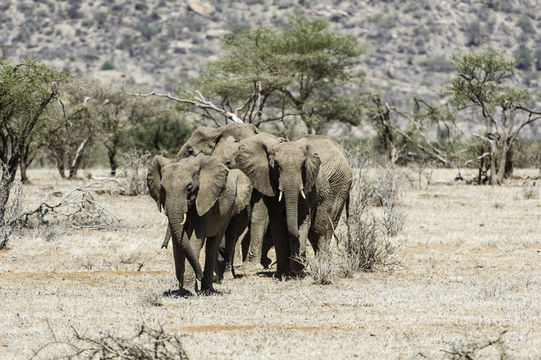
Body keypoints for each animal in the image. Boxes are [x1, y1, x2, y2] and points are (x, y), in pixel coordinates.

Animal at [146, 153, 251, 294]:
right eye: (162, 188)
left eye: (189, 188)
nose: (163, 246)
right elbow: (177, 242)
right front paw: (183, 291)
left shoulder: (205, 201)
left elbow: (195, 240)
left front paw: (189, 290)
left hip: (227, 212)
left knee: (213, 244)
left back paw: (207, 290)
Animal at [235, 134, 352, 278]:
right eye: (276, 166)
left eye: (303, 167)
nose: (302, 260)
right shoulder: (268, 182)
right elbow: (278, 225)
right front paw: (283, 274)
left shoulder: (307, 186)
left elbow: (302, 219)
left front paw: (297, 268)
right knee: (314, 231)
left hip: (338, 186)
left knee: (321, 227)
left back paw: (321, 267)